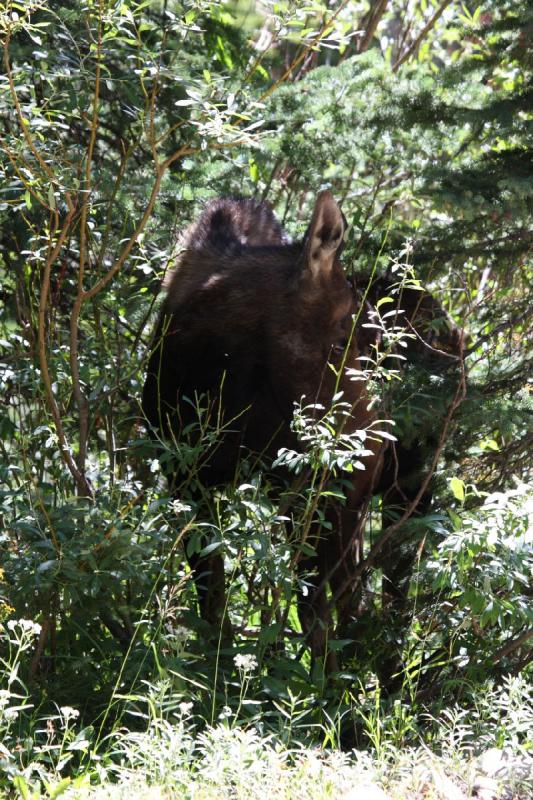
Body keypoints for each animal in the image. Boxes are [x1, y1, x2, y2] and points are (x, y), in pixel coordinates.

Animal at [141, 194, 382, 668]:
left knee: (339, 595)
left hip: (326, 497)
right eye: (345, 334)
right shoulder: (185, 477)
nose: (375, 449)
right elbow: (212, 598)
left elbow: (307, 608)